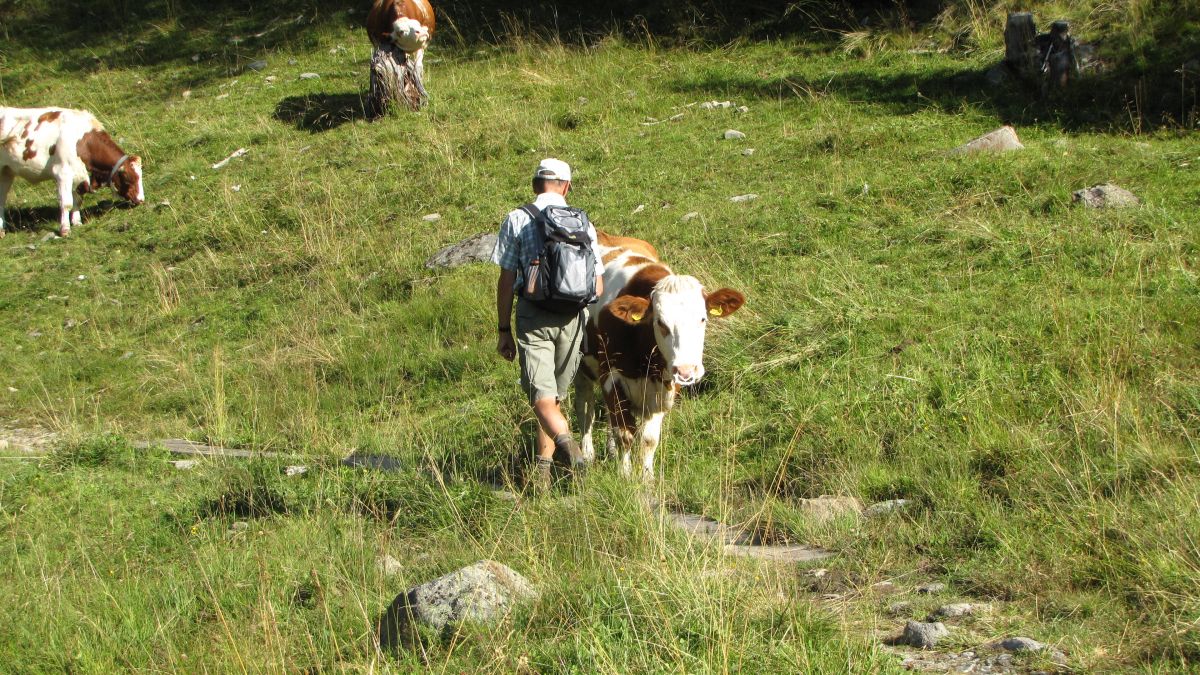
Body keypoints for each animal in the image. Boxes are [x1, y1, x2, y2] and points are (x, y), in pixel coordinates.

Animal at [0, 106, 143, 237]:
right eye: (127, 177)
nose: (141, 199)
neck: (82, 140)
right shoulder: (63, 173)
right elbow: (66, 202)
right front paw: (65, 229)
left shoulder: (79, 174)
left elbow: (78, 200)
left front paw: (77, 222)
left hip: (6, 172)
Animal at [576, 230, 744, 478]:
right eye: (661, 323)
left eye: (703, 319)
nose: (686, 370)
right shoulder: (611, 376)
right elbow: (625, 433)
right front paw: (625, 475)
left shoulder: (664, 388)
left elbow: (649, 439)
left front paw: (647, 477)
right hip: (581, 368)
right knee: (585, 407)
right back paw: (587, 454)